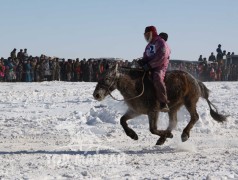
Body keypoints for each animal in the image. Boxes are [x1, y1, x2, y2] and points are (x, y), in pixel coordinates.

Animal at [92, 65, 227, 146]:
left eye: (107, 78)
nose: (96, 95)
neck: (135, 86)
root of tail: (195, 81)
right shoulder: (135, 110)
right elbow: (122, 120)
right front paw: (133, 135)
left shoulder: (153, 111)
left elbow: (152, 129)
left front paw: (168, 135)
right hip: (173, 107)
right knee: (173, 122)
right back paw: (163, 139)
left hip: (190, 102)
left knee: (195, 117)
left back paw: (183, 135)